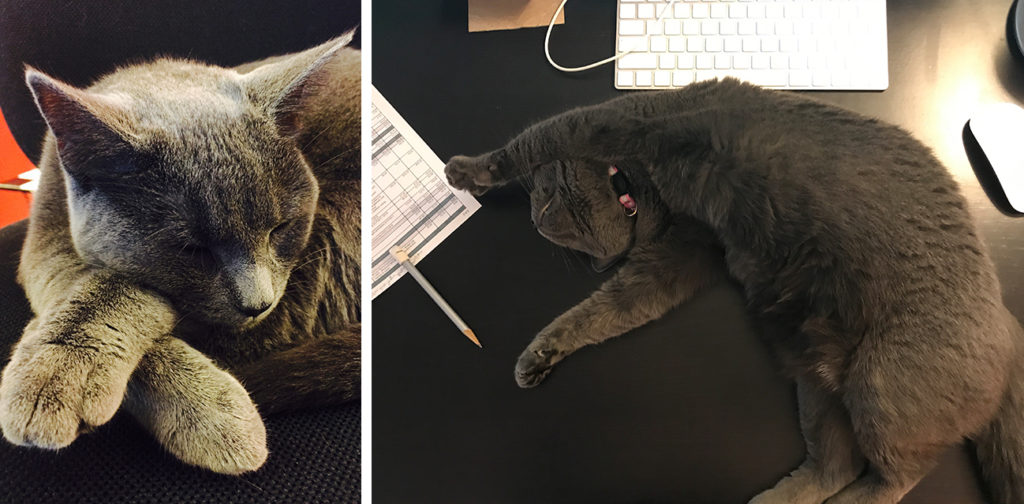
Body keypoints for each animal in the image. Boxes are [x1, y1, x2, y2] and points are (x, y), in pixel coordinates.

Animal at [0, 33, 360, 475]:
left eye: (280, 228)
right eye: (193, 249)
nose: (257, 303)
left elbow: (127, 291)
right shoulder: (42, 239)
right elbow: (100, 284)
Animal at [444, 78, 1024, 504]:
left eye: (545, 195)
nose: (534, 216)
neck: (641, 190)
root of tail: (1008, 324)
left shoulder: (621, 121)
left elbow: (532, 141)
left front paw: (466, 171)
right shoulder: (685, 250)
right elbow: (608, 310)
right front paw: (540, 354)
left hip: (882, 382)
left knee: (899, 476)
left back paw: (854, 500)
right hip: (816, 374)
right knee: (835, 466)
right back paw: (774, 501)